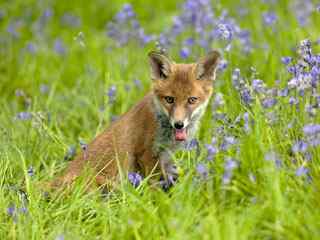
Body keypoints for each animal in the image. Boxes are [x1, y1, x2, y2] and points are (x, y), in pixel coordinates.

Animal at [53, 50, 220, 189]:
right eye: (169, 99)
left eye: (192, 100)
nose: (178, 124)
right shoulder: (145, 154)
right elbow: (156, 187)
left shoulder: (165, 158)